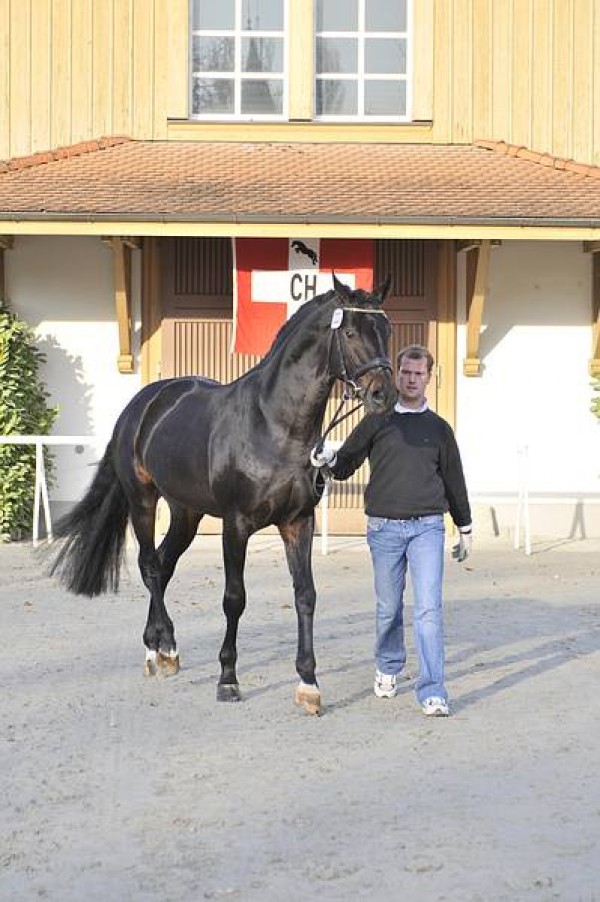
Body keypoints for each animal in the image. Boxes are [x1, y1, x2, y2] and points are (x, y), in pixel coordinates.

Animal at [51, 276, 396, 712]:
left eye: (386, 331)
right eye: (350, 332)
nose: (384, 395)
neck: (274, 427)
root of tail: (143, 403)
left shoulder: (298, 522)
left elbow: (306, 595)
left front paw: (308, 684)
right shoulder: (237, 524)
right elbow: (234, 598)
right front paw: (228, 679)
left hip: (186, 513)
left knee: (164, 564)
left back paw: (160, 646)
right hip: (143, 501)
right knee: (150, 565)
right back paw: (162, 649)